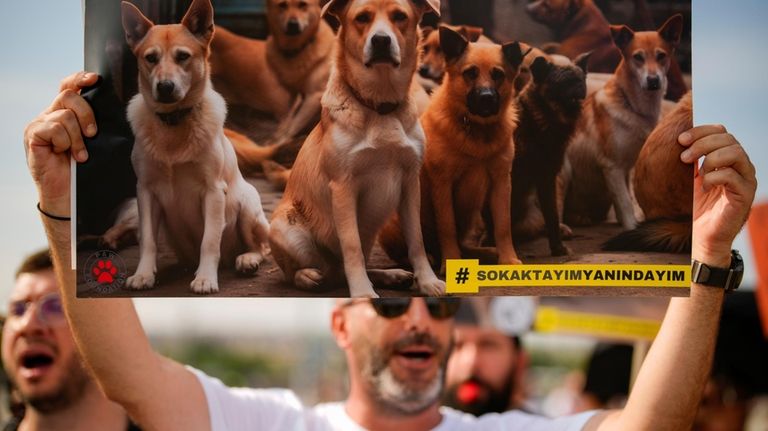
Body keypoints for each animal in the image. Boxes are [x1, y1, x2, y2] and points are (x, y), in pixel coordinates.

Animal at [121, 0, 272, 294]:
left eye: (183, 56)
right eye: (151, 58)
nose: (165, 86)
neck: (173, 123)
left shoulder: (213, 191)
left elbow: (209, 241)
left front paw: (205, 278)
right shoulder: (145, 191)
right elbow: (147, 240)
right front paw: (143, 274)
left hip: (248, 206)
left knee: (262, 247)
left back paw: (246, 259)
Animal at [268, 0, 444, 298]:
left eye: (400, 16)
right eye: (362, 18)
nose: (381, 40)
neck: (380, 106)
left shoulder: (411, 181)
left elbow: (417, 240)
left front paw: (427, 280)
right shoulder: (343, 186)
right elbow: (351, 248)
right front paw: (362, 292)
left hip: (370, 231)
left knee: (343, 270)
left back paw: (390, 275)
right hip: (285, 228)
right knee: (298, 272)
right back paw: (309, 277)